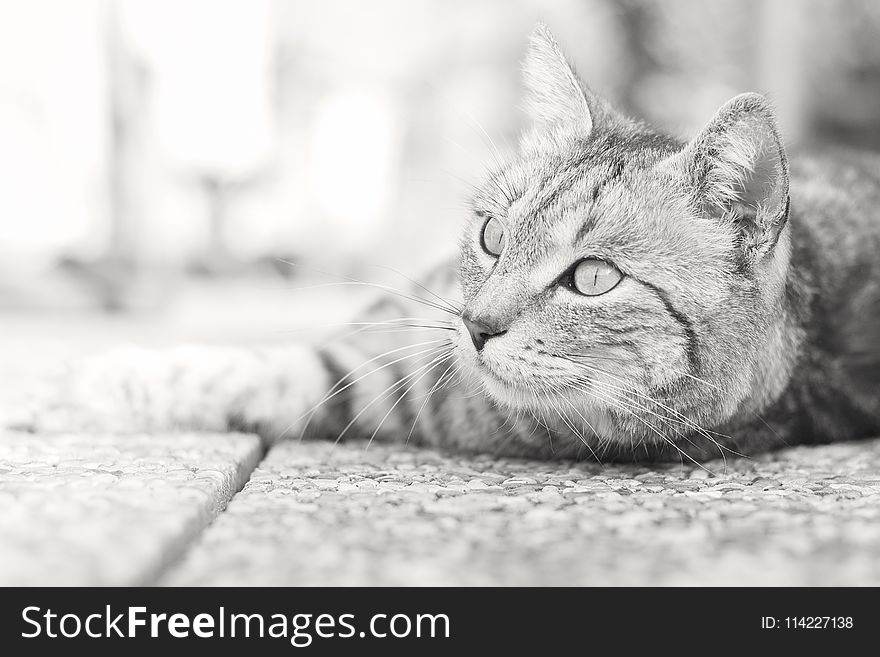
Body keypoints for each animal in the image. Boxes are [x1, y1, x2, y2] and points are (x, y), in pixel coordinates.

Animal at [6, 25, 880, 464]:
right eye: (492, 235)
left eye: (594, 279)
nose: (476, 324)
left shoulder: (391, 386)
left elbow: (241, 369)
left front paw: (64, 389)